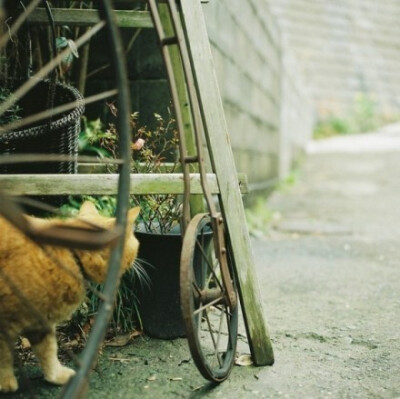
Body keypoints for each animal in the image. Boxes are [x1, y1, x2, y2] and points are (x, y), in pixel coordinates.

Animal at [0, 203, 141, 394]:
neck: (71, 256)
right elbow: (4, 355)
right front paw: (6, 382)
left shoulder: (41, 323)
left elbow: (49, 351)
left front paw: (56, 376)